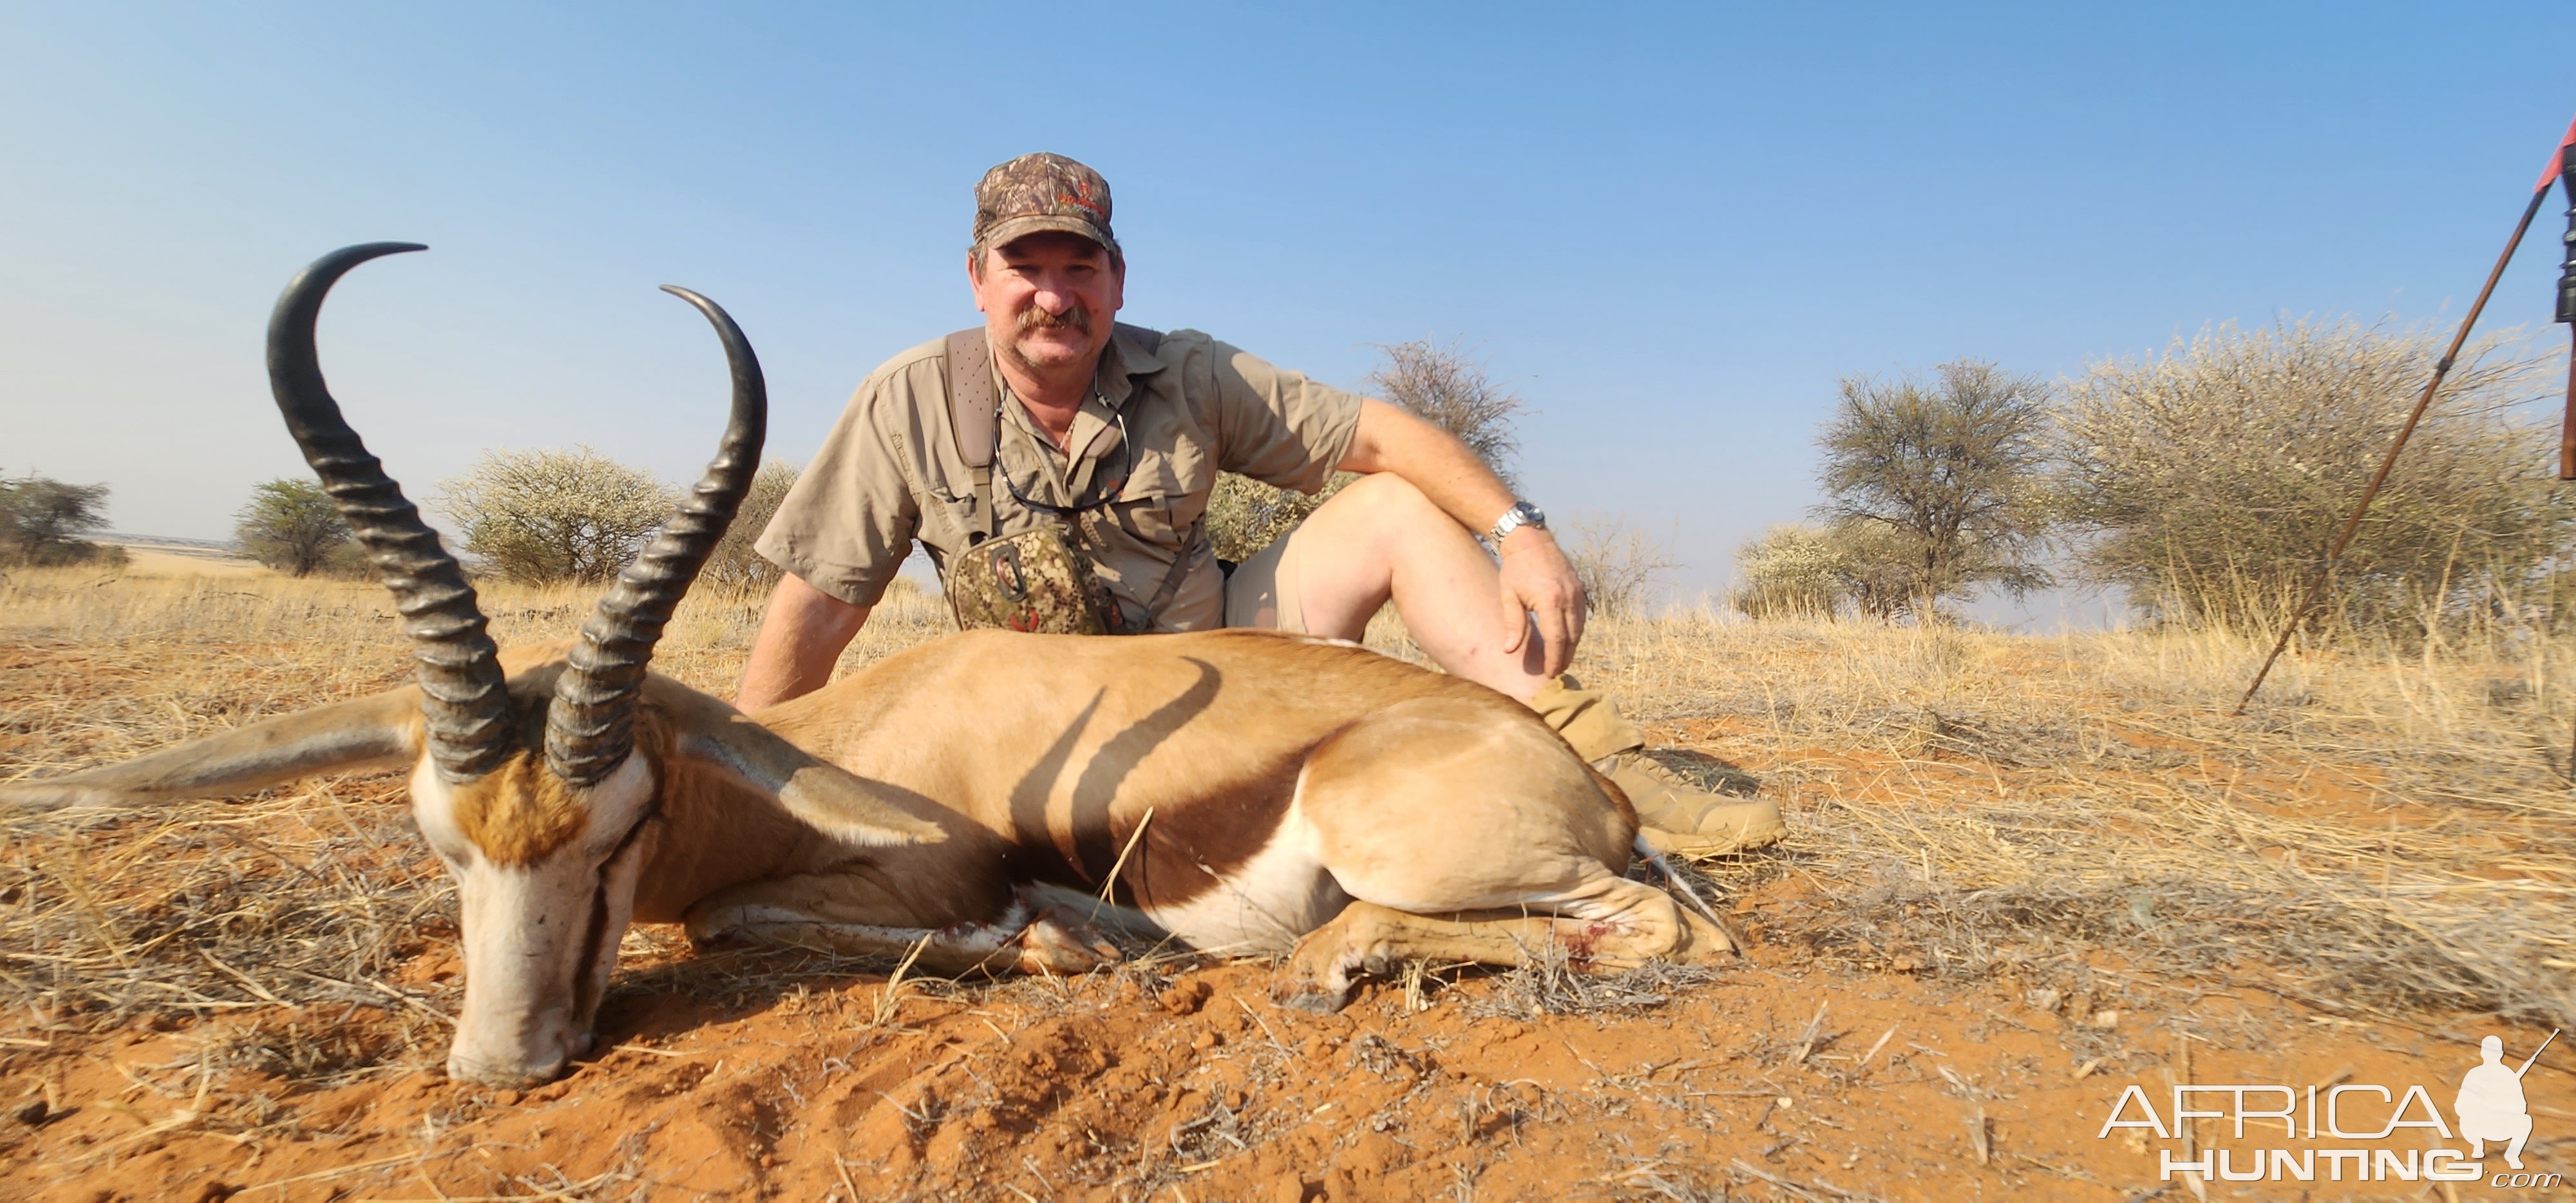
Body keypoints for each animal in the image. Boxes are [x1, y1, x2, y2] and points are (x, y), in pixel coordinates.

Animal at [0, 247, 1741, 1092]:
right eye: (439, 839)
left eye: (620, 828)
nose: (503, 1063)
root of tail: (1576, 777)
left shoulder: (906, 878)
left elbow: (764, 919)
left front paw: (1060, 942)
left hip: (1426, 844)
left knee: (1655, 926)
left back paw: (1329, 961)